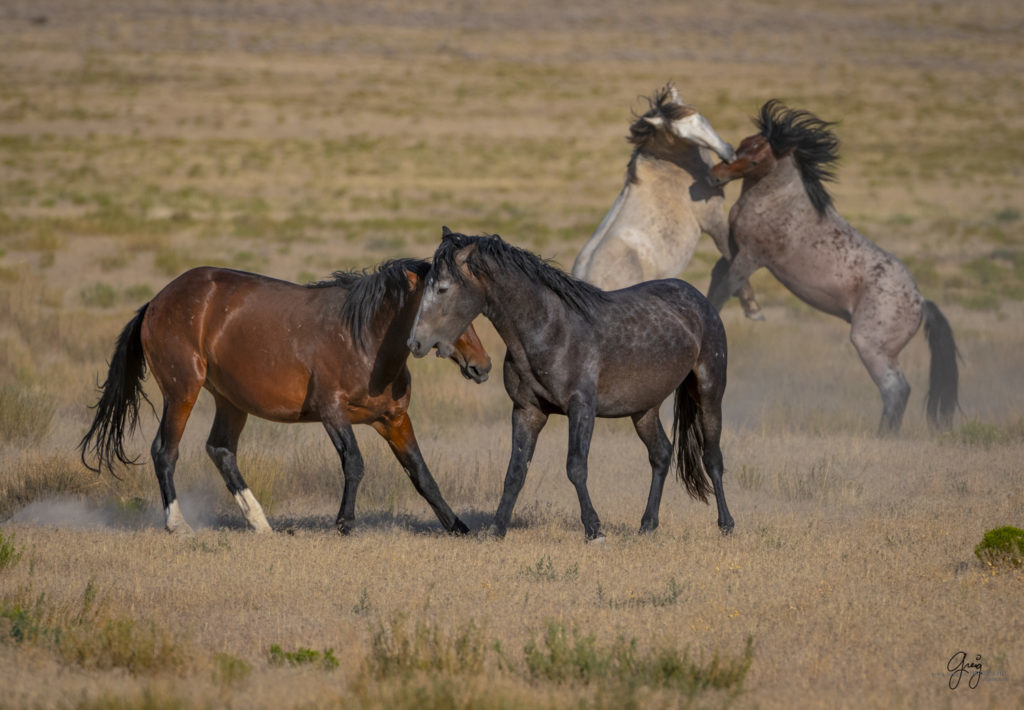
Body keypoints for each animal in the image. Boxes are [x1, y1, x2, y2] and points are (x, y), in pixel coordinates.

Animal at [79, 259, 491, 532]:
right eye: (442, 301)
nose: (482, 366)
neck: (363, 338)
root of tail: (156, 301)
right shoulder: (332, 413)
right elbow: (354, 464)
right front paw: (344, 523)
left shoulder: (393, 420)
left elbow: (421, 473)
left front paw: (457, 526)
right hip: (182, 392)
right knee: (165, 450)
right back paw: (178, 525)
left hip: (231, 401)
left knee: (220, 450)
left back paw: (261, 524)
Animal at [407, 229, 737, 540]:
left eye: (443, 288)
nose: (415, 342)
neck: (550, 330)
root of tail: (699, 299)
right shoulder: (527, 411)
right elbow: (515, 472)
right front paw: (497, 530)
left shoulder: (582, 409)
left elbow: (576, 467)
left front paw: (594, 530)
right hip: (644, 409)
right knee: (661, 455)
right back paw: (647, 525)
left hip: (709, 393)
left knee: (712, 458)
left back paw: (726, 524)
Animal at [573, 84, 765, 321]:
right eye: (681, 133)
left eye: (700, 116)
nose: (728, 151)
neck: (670, 168)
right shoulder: (714, 219)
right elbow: (731, 256)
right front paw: (753, 309)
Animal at [712, 98, 958, 432]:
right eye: (742, 144)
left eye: (754, 158)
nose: (715, 175)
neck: (780, 203)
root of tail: (920, 301)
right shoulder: (735, 250)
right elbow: (718, 279)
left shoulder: (752, 257)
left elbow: (727, 288)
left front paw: (749, 312)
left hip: (870, 345)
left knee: (896, 389)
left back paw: (882, 436)